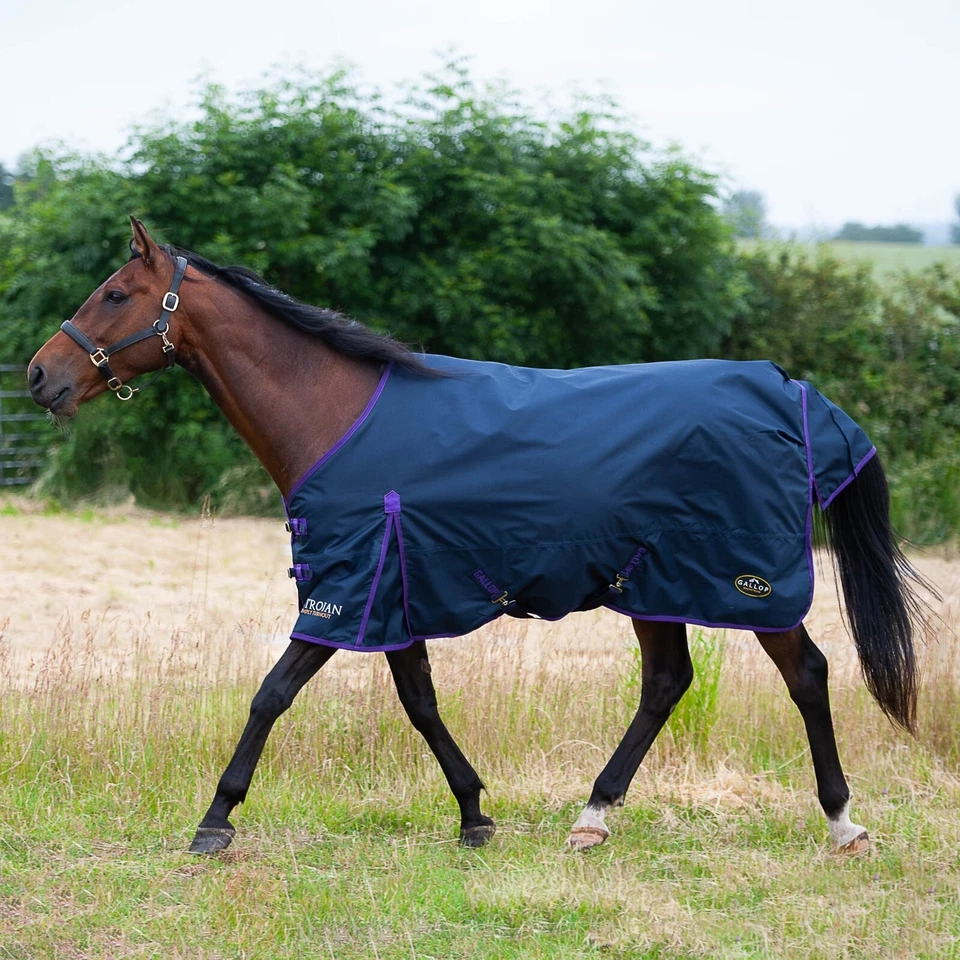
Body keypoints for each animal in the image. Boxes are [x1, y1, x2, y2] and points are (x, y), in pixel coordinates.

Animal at [27, 217, 927, 856]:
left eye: (115, 294)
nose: (41, 376)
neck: (335, 415)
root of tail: (789, 392)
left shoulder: (347, 590)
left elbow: (272, 693)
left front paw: (215, 819)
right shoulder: (389, 595)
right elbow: (419, 703)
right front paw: (472, 814)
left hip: (747, 585)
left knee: (806, 674)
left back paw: (844, 823)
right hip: (652, 585)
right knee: (667, 682)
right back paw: (592, 816)